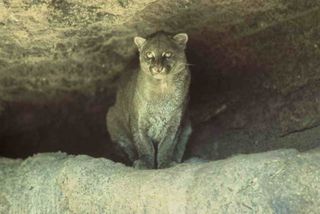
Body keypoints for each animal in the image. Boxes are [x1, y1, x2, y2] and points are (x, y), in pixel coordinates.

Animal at [106, 31, 191, 169]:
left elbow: (167, 146)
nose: (158, 67)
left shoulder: (175, 123)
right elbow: (144, 145)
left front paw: (165, 163)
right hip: (111, 116)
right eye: (149, 54)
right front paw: (145, 163)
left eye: (167, 54)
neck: (162, 88)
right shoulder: (138, 121)